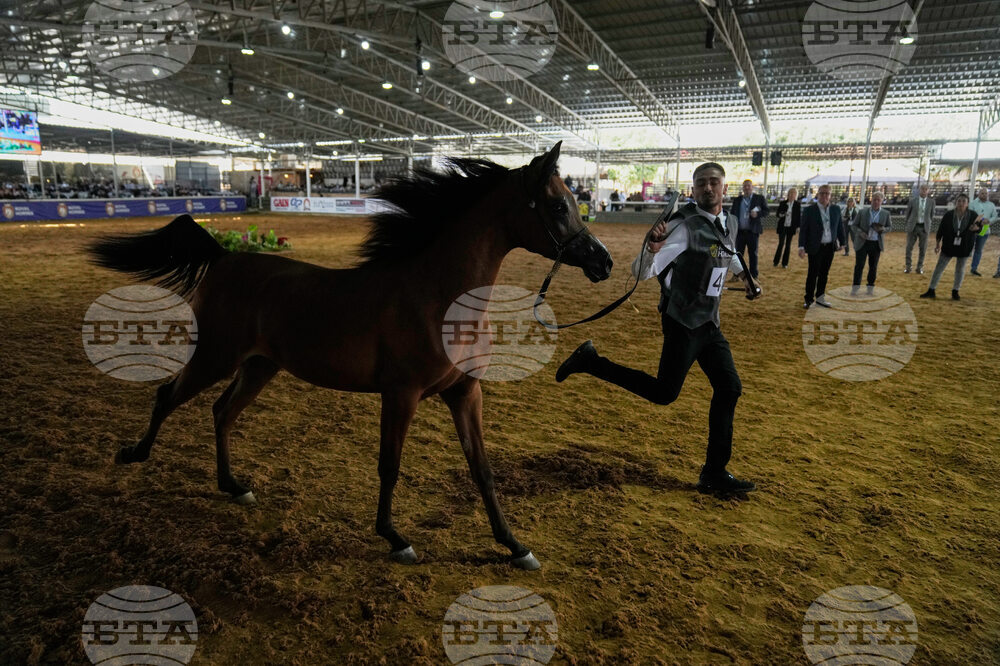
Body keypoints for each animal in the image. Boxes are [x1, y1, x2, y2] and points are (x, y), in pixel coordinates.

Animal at [89, 141, 613, 570]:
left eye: (574, 202)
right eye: (557, 205)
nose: (602, 261)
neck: (437, 297)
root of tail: (223, 256)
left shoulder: (465, 393)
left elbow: (482, 469)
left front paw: (515, 546)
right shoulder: (401, 394)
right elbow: (389, 465)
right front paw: (395, 539)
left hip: (259, 366)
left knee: (222, 412)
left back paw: (234, 486)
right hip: (214, 356)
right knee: (168, 395)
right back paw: (134, 454)